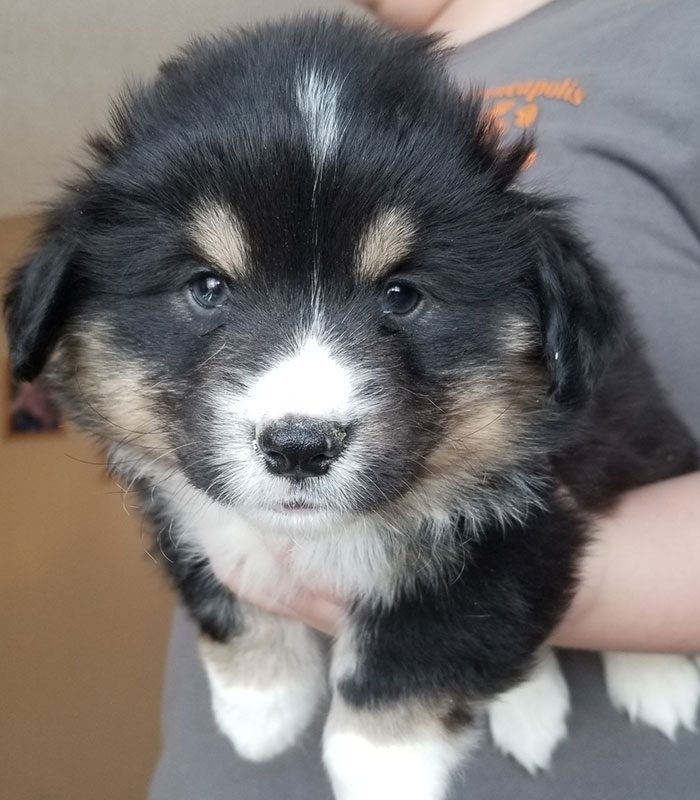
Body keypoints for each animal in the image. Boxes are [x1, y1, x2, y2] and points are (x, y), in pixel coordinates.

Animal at [4, 14, 696, 800]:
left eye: (402, 294)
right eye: (206, 287)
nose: (300, 446)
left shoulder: (531, 515)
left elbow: (430, 635)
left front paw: (381, 764)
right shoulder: (178, 505)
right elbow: (223, 586)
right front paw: (261, 704)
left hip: (638, 429)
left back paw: (656, 683)